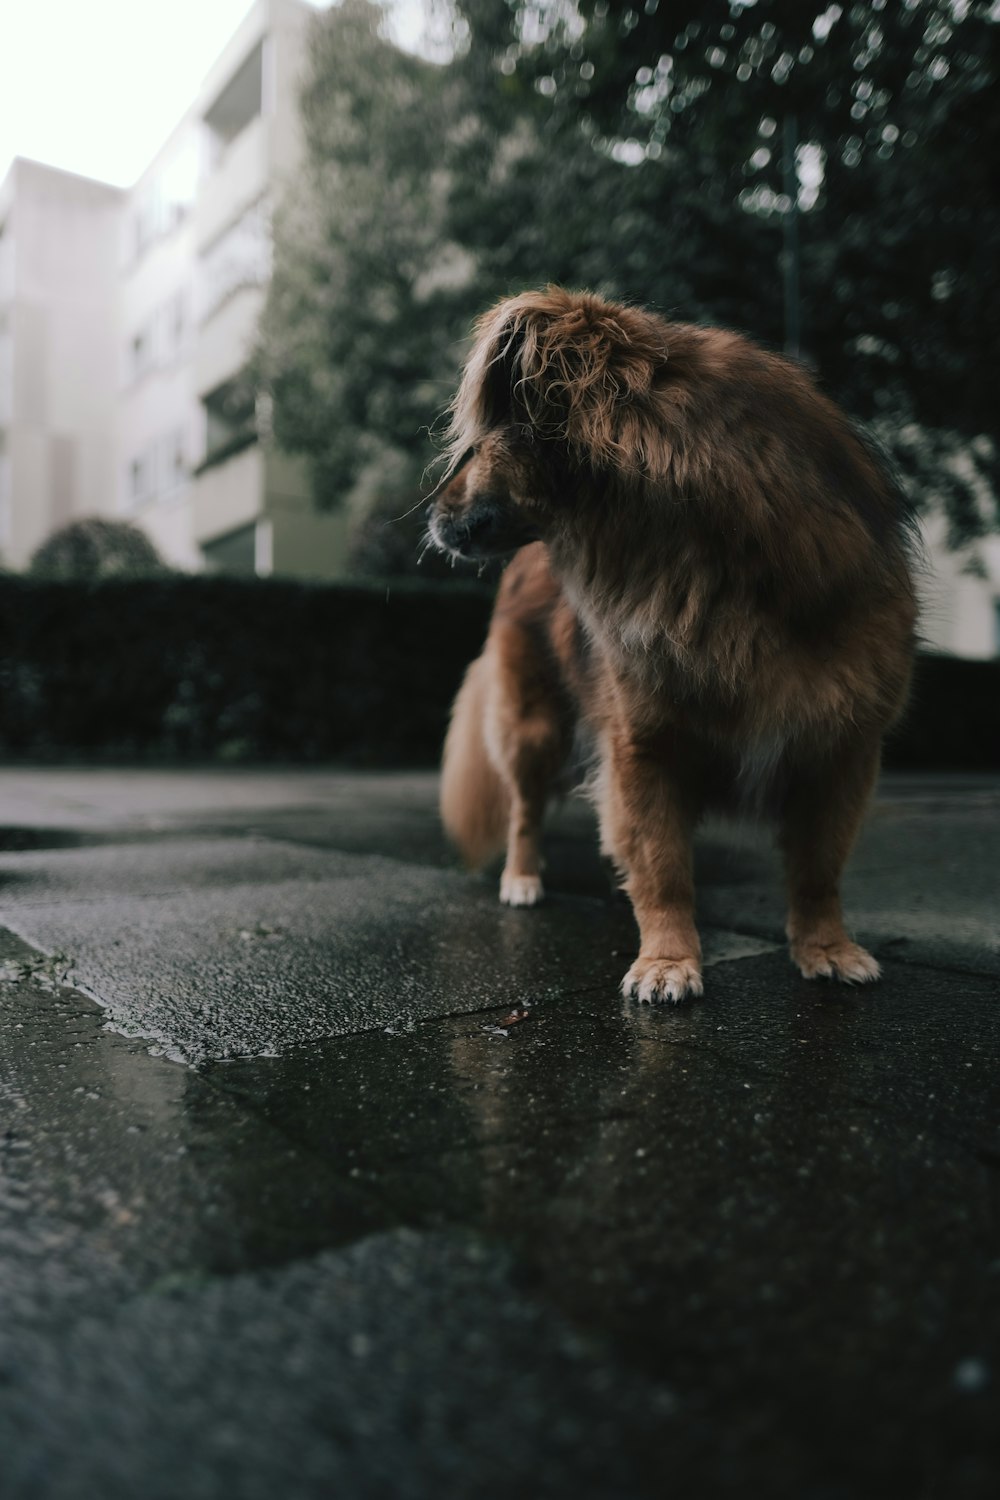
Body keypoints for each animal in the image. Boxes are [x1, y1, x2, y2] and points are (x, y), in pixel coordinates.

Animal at [428, 286, 917, 1002]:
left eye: (484, 444)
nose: (431, 516)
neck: (719, 565)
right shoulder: (643, 745)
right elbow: (663, 865)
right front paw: (667, 960)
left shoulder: (841, 746)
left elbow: (819, 868)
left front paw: (826, 947)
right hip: (534, 725)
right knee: (524, 808)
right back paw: (522, 879)